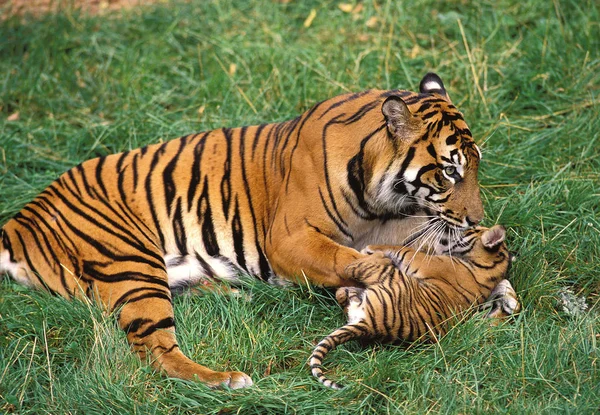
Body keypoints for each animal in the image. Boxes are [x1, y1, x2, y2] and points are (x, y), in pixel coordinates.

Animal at [0, 73, 482, 388]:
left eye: (476, 166)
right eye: (449, 172)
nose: (476, 218)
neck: (379, 197)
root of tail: (21, 218)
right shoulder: (288, 239)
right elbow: (344, 257)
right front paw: (388, 275)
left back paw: (236, 296)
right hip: (130, 261)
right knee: (155, 350)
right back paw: (226, 378)